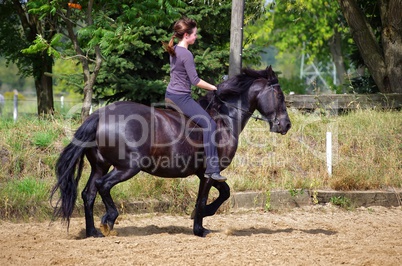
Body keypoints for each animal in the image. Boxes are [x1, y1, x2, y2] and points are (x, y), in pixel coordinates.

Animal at [51, 66, 292, 237]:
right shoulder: (209, 174)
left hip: (100, 166)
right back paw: (109, 220)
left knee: (88, 193)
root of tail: (99, 116)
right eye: (280, 96)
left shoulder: (205, 173)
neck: (224, 119)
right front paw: (200, 229)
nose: (286, 125)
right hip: (127, 167)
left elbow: (225, 193)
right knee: (103, 186)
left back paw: (93, 232)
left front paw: (201, 217)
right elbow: (204, 199)